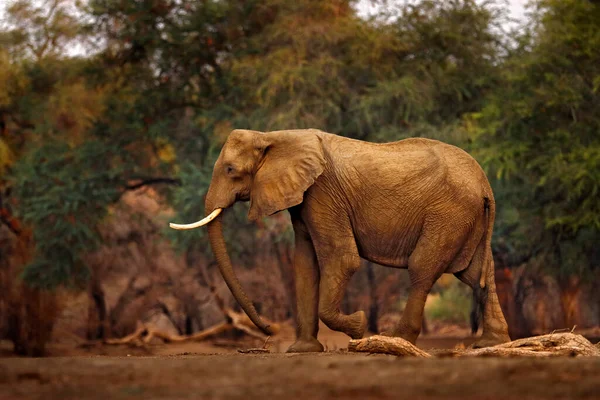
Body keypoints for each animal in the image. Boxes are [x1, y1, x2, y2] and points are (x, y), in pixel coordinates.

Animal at [170, 130, 510, 352]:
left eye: (230, 170)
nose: (270, 330)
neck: (274, 136)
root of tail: (485, 184)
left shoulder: (322, 193)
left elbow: (342, 258)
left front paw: (358, 327)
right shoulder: (303, 199)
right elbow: (304, 265)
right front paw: (302, 350)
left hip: (449, 213)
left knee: (422, 269)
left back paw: (392, 339)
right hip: (467, 218)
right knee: (477, 275)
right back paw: (490, 343)